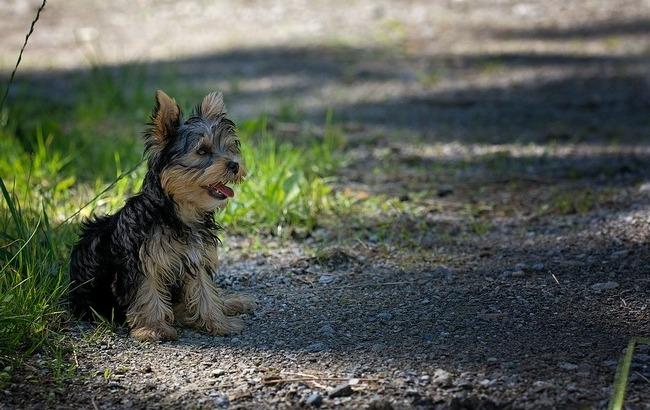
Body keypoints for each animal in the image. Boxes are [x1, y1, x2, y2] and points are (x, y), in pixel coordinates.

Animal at [69, 90, 253, 342]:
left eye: (228, 148)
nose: (234, 165)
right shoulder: (142, 262)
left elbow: (204, 290)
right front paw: (154, 328)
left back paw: (229, 303)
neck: (178, 212)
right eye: (202, 151)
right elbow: (147, 292)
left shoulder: (196, 257)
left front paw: (218, 322)